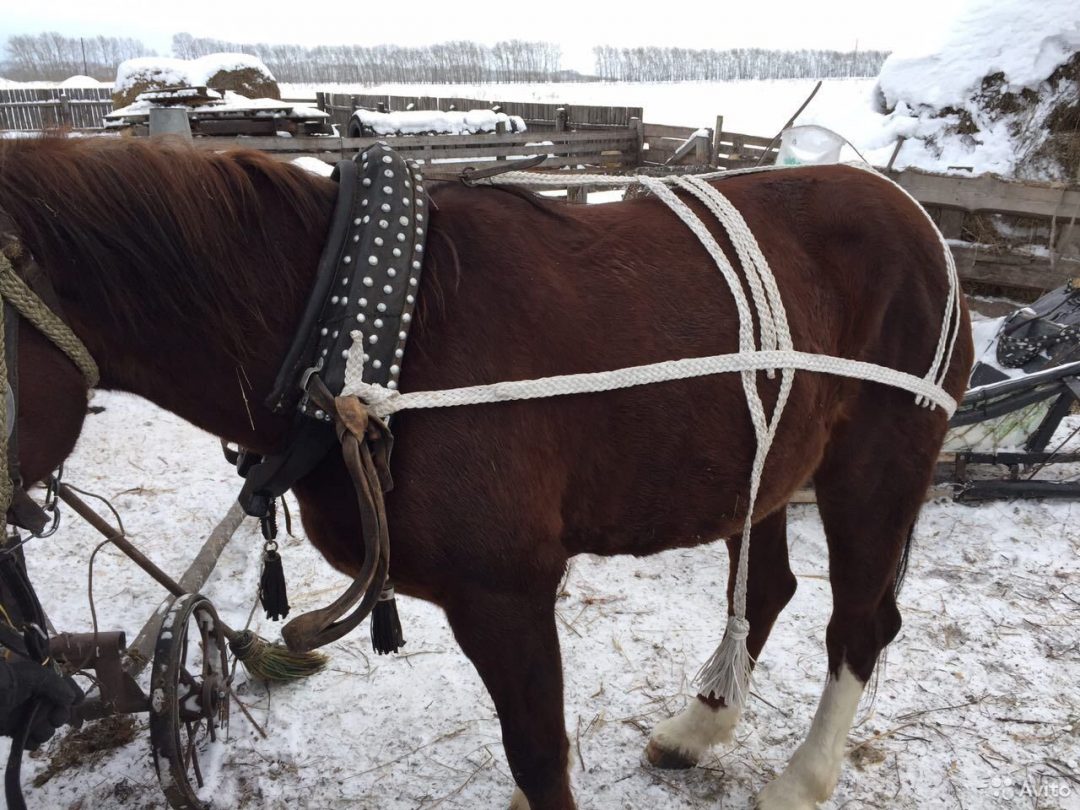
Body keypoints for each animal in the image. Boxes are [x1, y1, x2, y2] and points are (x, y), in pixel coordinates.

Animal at [0, 136, 976, 807]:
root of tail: (915, 215)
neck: (364, 334)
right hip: (768, 465)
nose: (28, 677)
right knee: (768, 590)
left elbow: (539, 754)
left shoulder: (504, 591)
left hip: (876, 470)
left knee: (860, 624)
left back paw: (800, 780)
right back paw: (698, 726)